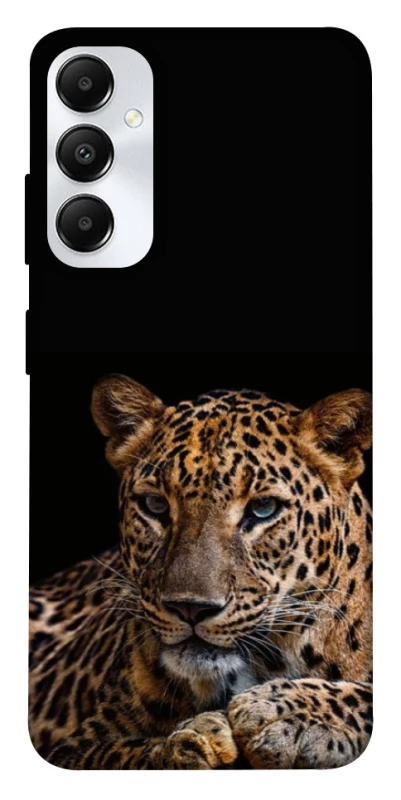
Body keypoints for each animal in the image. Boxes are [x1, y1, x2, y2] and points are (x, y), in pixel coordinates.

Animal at [29, 374, 372, 769]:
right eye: (155, 505)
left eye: (264, 509)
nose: (191, 608)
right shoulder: (75, 747)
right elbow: (125, 754)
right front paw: (193, 743)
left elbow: (366, 696)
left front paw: (285, 712)